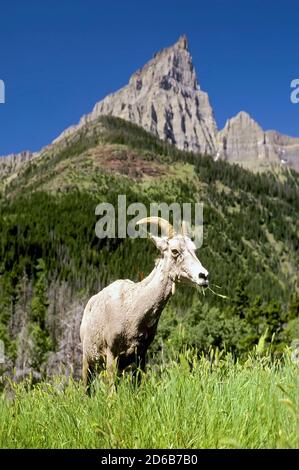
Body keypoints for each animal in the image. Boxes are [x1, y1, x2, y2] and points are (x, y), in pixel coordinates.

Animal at [81, 218, 210, 392]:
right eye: (174, 251)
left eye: (194, 250)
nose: (204, 276)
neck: (132, 312)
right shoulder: (111, 355)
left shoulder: (141, 355)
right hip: (87, 360)